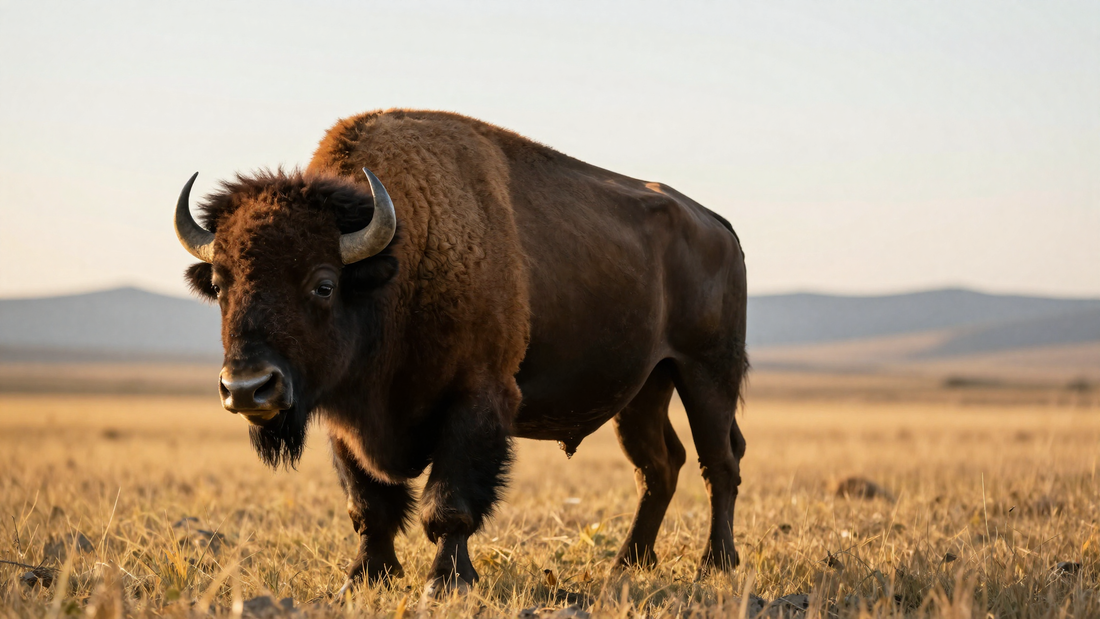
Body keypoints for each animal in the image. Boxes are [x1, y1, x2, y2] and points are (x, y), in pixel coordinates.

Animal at [175, 110, 748, 595]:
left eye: (323, 284)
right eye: (220, 284)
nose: (247, 388)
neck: (398, 263)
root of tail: (717, 224)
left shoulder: (476, 401)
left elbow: (449, 504)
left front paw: (446, 582)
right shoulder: (344, 419)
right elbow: (369, 506)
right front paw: (364, 579)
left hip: (705, 372)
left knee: (718, 460)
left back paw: (716, 564)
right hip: (644, 389)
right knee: (659, 465)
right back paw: (628, 564)